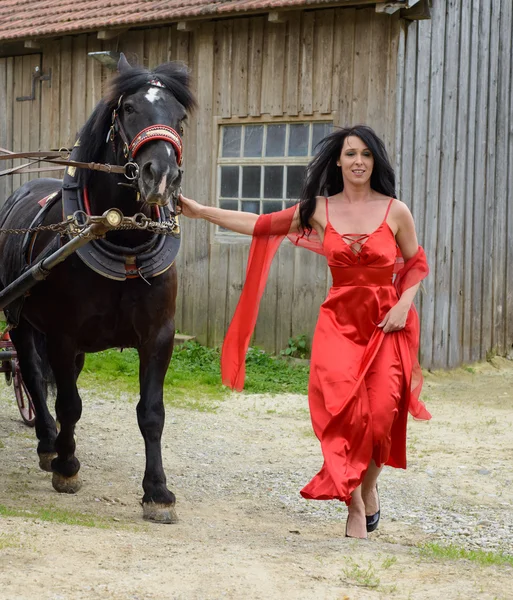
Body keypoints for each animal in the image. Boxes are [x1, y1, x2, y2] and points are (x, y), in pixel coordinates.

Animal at [0, 54, 196, 520]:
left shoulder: (158, 336)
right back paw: (49, 444)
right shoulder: (63, 334)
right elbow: (69, 402)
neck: (121, 236)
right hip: (21, 321)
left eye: (180, 117)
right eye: (128, 109)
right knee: (33, 375)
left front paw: (157, 491)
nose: (162, 175)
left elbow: (152, 413)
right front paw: (67, 467)